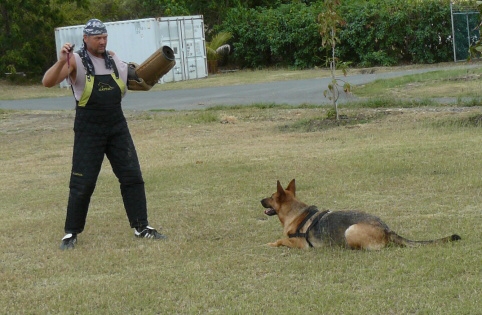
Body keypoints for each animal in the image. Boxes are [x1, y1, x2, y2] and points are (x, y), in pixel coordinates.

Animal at [262, 181, 462, 251]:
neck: (296, 212)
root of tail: (387, 229)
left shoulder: (301, 244)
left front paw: (270, 244)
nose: (260, 200)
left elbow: (281, 240)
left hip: (350, 231)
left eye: (271, 197)